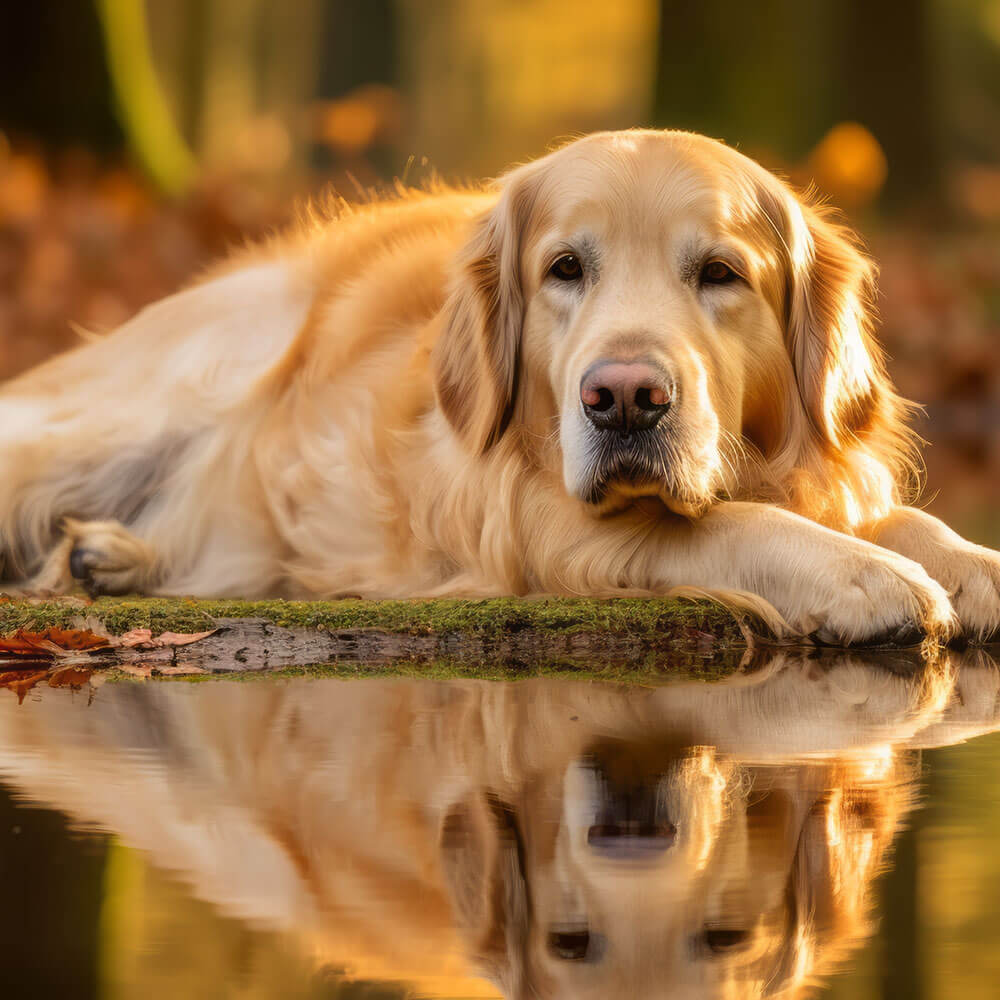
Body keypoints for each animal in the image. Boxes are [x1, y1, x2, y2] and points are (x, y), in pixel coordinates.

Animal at [1, 129, 1000, 644]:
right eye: (564, 268)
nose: (625, 399)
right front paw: (866, 575)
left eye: (719, 273)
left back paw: (111, 555)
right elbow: (724, 524)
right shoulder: (540, 521)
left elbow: (907, 519)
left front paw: (962, 561)